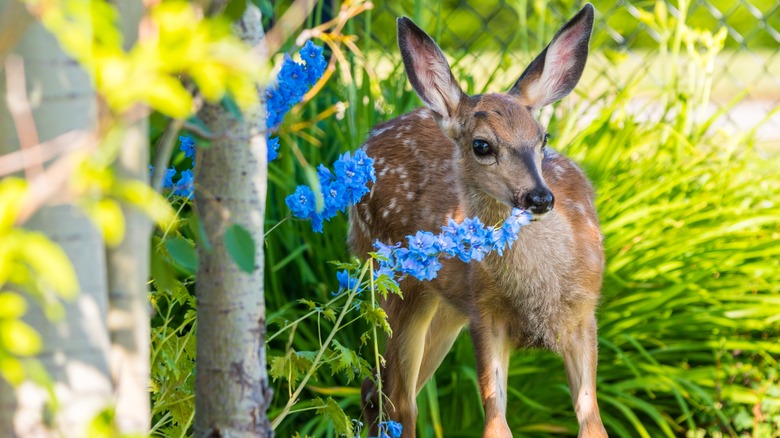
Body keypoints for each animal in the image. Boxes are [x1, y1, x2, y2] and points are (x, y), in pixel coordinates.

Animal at [350, 4, 608, 438]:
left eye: (544, 137)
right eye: (482, 145)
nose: (540, 197)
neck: (540, 292)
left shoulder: (583, 315)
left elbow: (593, 424)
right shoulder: (485, 316)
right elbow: (495, 423)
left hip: (446, 306)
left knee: (378, 390)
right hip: (394, 279)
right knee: (398, 399)